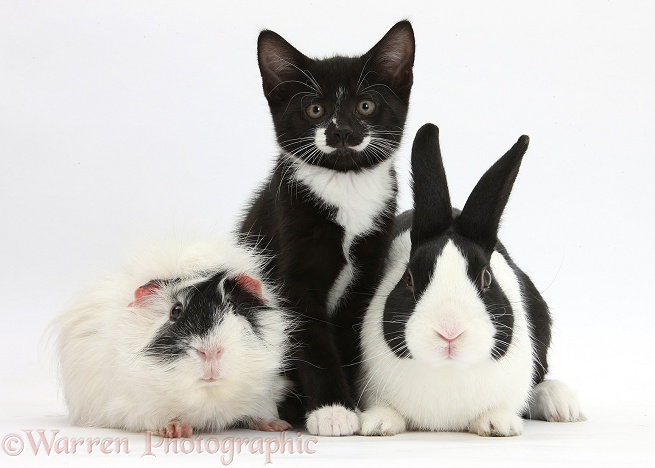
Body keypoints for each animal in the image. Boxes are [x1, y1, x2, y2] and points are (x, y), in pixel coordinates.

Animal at [52, 238, 294, 438]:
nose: (211, 351)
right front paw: (176, 430)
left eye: (234, 307)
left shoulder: (266, 393)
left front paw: (279, 426)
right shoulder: (135, 406)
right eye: (175, 311)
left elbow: (261, 412)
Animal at [241, 20, 416, 436]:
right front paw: (333, 411)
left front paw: (357, 405)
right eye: (314, 109)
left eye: (366, 105)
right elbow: (314, 341)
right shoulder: (293, 277)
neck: (345, 185)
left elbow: (351, 336)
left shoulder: (367, 274)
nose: (341, 132)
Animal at [358, 123, 584, 436]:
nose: (449, 331)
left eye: (486, 278)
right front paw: (379, 424)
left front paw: (497, 424)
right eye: (409, 279)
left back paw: (561, 404)